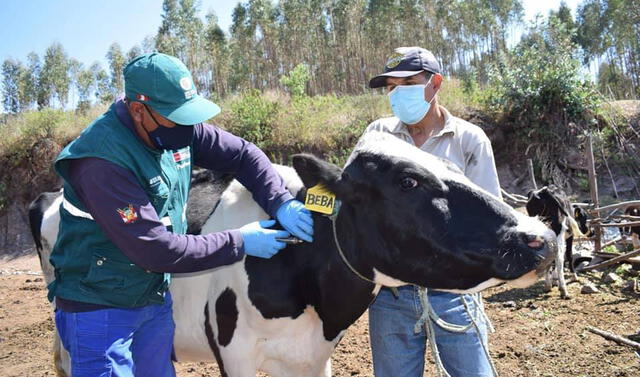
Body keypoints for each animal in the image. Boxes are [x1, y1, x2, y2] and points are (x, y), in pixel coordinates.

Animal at [32, 131, 556, 374]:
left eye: (455, 166)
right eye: (409, 181)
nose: (541, 238)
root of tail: (51, 194)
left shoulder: (314, 358)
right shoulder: (235, 356)